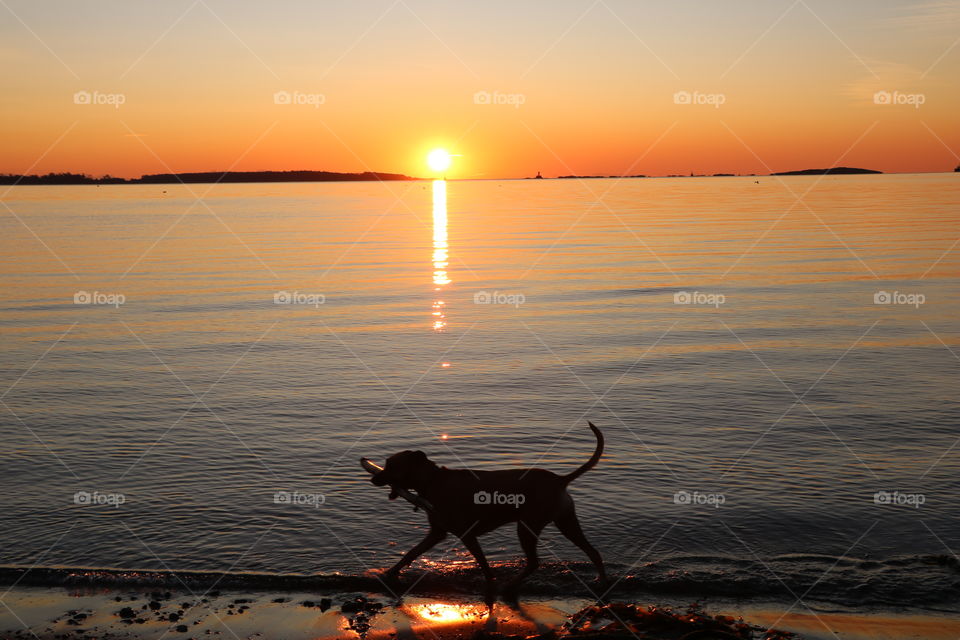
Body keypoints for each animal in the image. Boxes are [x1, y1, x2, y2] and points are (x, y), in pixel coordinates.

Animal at [368, 422, 608, 604]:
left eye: (392, 465)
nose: (373, 478)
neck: (432, 481)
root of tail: (560, 480)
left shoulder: (467, 534)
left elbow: (483, 563)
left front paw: (491, 582)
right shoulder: (437, 533)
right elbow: (411, 553)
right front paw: (390, 573)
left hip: (527, 526)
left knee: (533, 562)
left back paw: (509, 586)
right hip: (566, 522)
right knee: (593, 551)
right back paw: (601, 581)